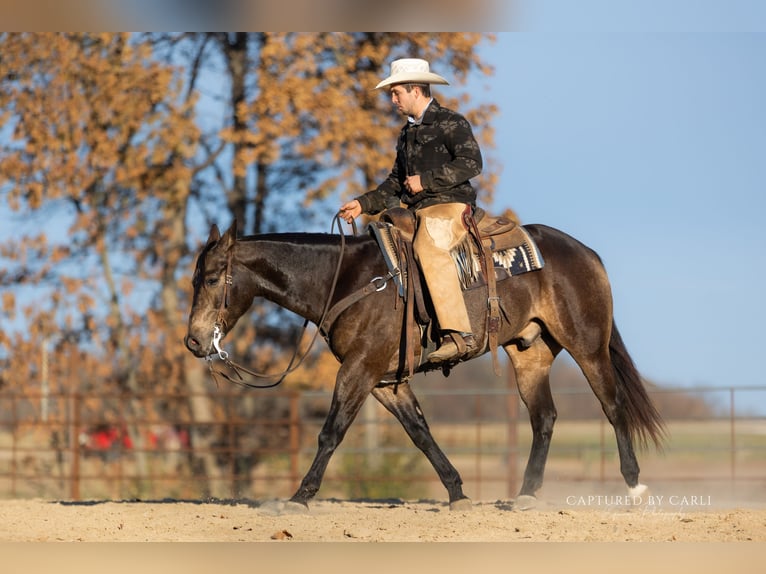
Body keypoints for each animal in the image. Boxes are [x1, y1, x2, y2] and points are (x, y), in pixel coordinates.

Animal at [184, 216, 664, 511]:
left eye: (212, 278)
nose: (193, 340)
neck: (349, 280)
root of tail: (586, 253)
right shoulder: (386, 381)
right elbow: (419, 432)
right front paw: (457, 493)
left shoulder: (359, 369)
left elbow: (331, 432)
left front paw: (300, 497)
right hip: (530, 354)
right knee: (544, 418)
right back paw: (526, 494)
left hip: (588, 347)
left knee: (613, 406)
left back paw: (635, 487)